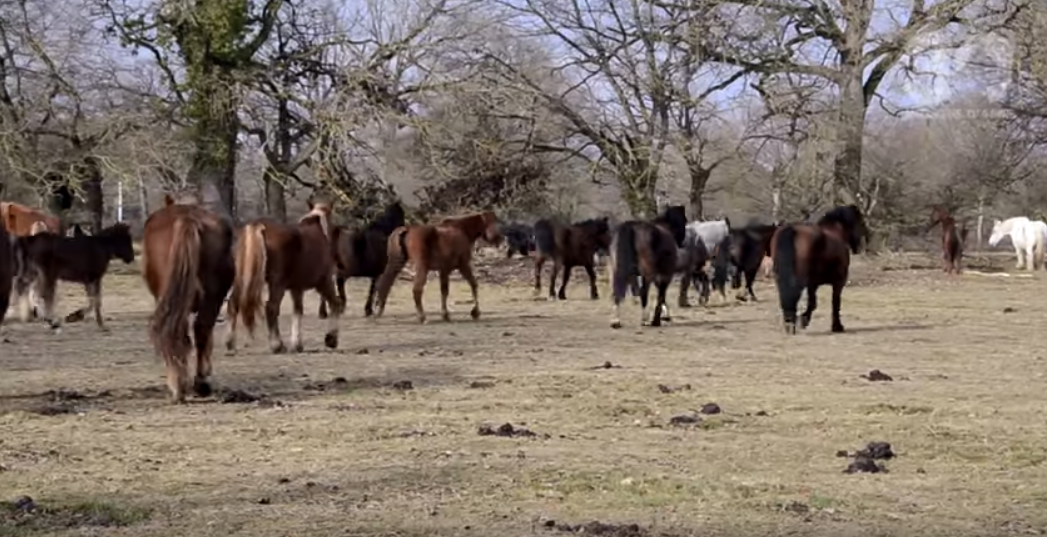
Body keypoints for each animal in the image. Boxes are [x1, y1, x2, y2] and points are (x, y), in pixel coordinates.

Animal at [142, 192, 236, 403]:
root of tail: (187, 218)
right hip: (209, 298)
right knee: (198, 331)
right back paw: (194, 383)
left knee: (182, 333)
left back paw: (184, 385)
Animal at [225, 201, 343, 354]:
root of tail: (258, 226)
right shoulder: (324, 282)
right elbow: (335, 304)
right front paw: (331, 339)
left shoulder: (297, 288)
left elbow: (298, 311)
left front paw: (297, 345)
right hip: (277, 284)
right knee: (271, 308)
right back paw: (277, 345)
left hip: (243, 279)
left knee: (233, 303)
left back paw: (230, 343)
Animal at [373, 210, 502, 324]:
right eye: (493, 221)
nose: (499, 240)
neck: (462, 230)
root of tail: (407, 230)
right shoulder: (463, 266)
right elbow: (473, 285)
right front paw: (475, 312)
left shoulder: (443, 270)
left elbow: (444, 291)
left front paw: (445, 315)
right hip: (422, 268)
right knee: (416, 290)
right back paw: (422, 317)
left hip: (395, 264)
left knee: (385, 284)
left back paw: (378, 311)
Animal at [771, 204, 868, 334]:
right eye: (861, 222)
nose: (861, 245)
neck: (835, 231)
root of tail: (792, 231)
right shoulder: (838, 282)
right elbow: (834, 302)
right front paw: (837, 326)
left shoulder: (813, 284)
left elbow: (813, 302)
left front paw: (804, 319)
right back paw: (791, 323)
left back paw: (789, 323)